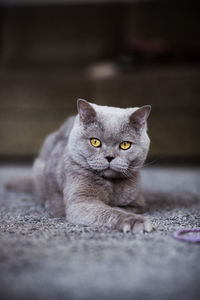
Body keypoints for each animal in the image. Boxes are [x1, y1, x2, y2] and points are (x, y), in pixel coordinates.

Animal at [5, 99, 153, 233]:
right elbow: (108, 211)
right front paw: (135, 221)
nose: (109, 157)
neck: (111, 184)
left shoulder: (138, 202)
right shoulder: (81, 201)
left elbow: (123, 207)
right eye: (95, 142)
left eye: (125, 145)